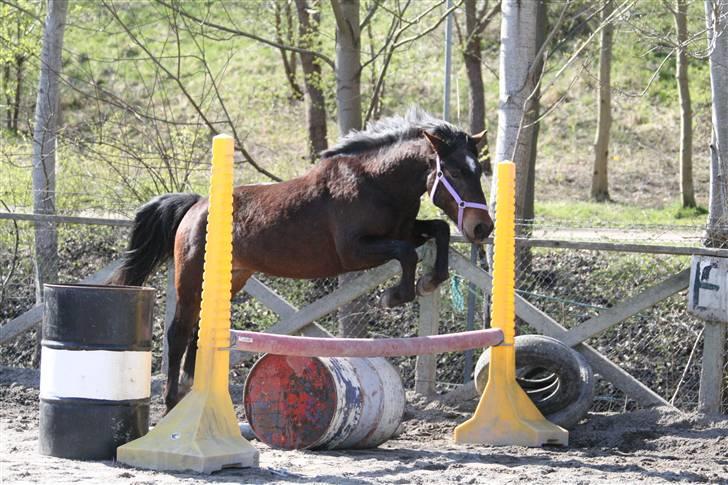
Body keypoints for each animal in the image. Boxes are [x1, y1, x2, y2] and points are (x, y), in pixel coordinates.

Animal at [111, 110, 494, 412]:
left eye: (478, 171)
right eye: (455, 172)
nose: (482, 227)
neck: (378, 182)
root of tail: (196, 205)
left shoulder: (406, 229)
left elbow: (438, 231)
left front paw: (430, 280)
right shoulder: (355, 251)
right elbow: (406, 252)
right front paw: (396, 295)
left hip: (231, 278)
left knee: (197, 331)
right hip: (191, 280)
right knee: (178, 332)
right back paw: (172, 403)